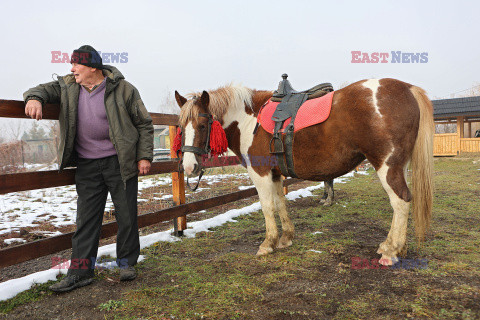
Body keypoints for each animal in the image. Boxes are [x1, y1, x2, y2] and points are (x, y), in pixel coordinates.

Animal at [175, 78, 436, 264]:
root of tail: (408, 88)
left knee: (400, 202)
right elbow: (280, 204)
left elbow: (267, 207)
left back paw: (391, 252)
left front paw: (267, 244)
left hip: (387, 166)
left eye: (202, 125)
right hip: (398, 166)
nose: (188, 167)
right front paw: (286, 238)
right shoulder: (276, 174)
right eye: (180, 127)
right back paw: (392, 246)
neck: (250, 119)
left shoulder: (260, 173)